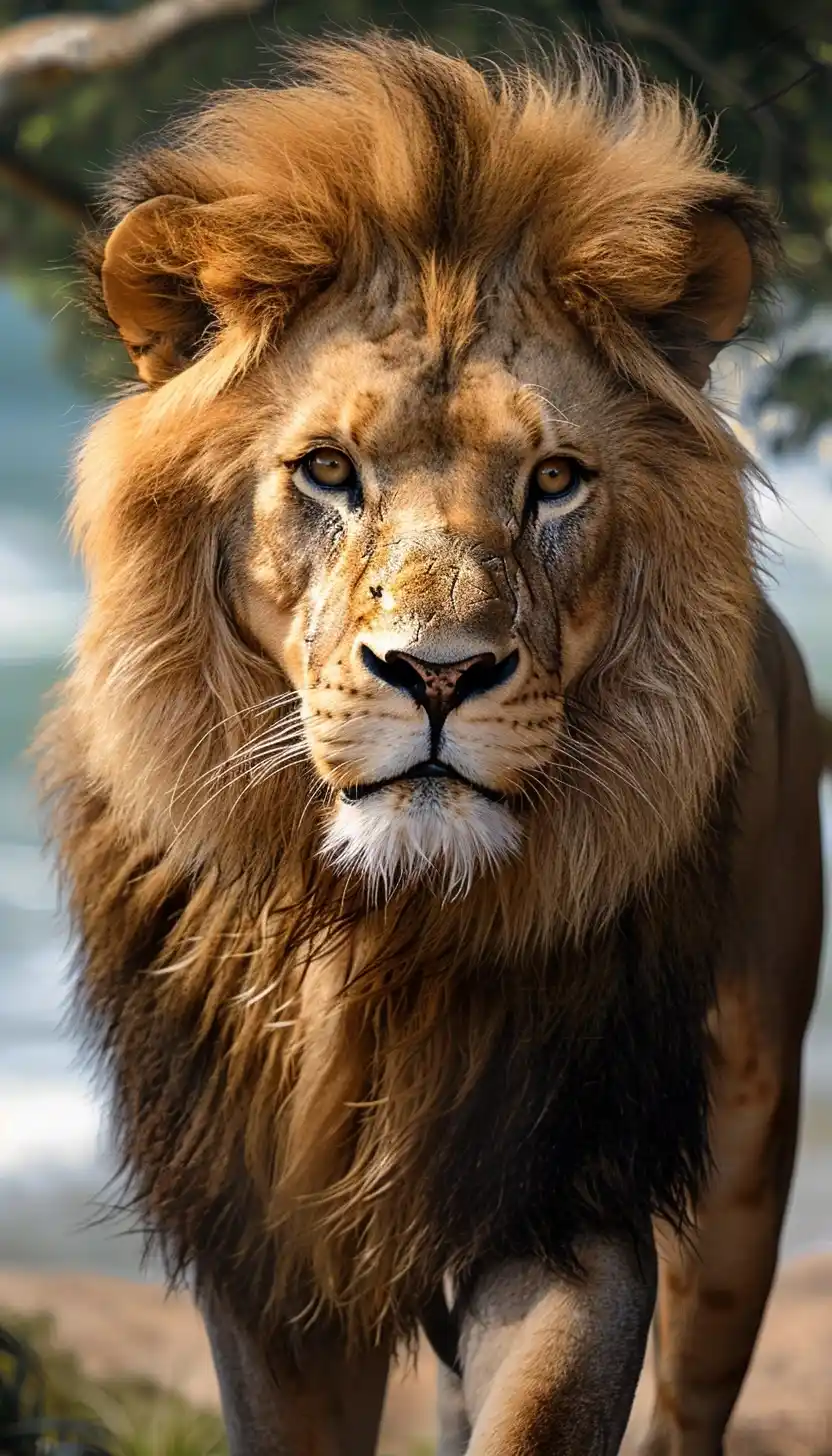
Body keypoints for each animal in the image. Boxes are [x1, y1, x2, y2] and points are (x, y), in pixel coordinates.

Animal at [38, 34, 824, 1456]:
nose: (439, 674)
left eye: (554, 480)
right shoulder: (266, 1242)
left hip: (746, 1129)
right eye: (327, 472)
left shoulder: (564, 1187)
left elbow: (546, 1410)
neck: (375, 930)